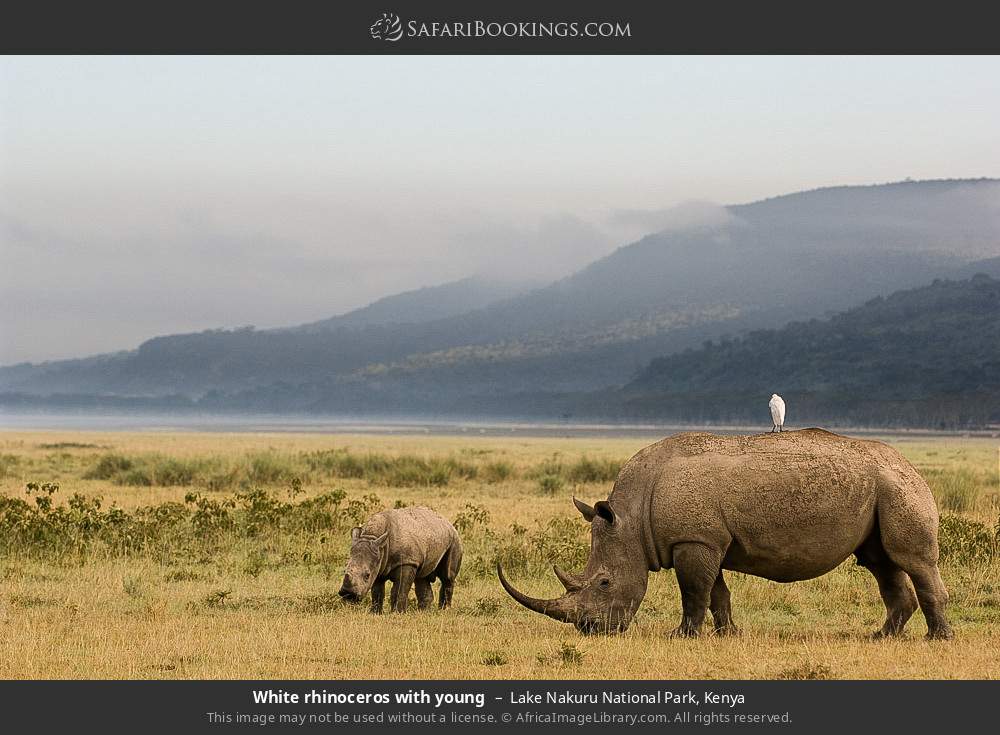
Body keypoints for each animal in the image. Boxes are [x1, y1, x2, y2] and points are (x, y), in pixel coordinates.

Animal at [498, 429, 953, 639]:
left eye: (605, 582)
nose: (591, 630)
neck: (631, 516)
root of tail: (910, 464)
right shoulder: (705, 539)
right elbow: (715, 591)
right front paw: (727, 634)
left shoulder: (693, 540)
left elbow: (693, 591)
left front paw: (681, 636)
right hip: (881, 488)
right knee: (880, 561)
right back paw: (881, 637)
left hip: (898, 487)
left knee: (911, 560)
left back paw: (936, 639)